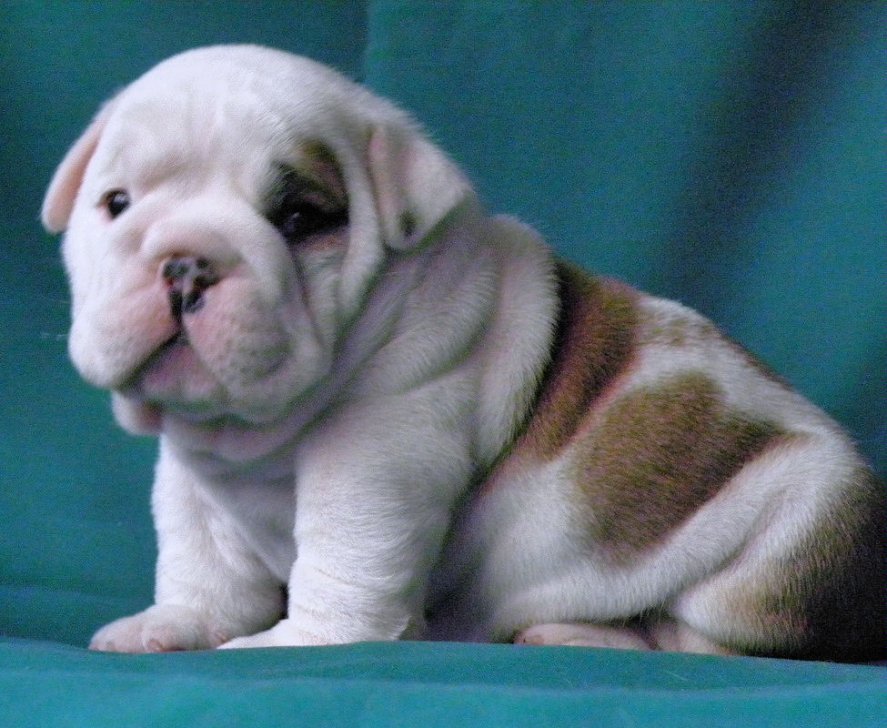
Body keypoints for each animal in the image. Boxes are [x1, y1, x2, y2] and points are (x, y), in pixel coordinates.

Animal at [40, 44, 880, 660]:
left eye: (299, 218)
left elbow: (345, 560)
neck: (247, 435)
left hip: (786, 543)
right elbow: (199, 558)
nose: (185, 262)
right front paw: (172, 624)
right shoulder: (194, 479)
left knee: (704, 646)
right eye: (116, 204)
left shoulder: (376, 455)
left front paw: (291, 646)